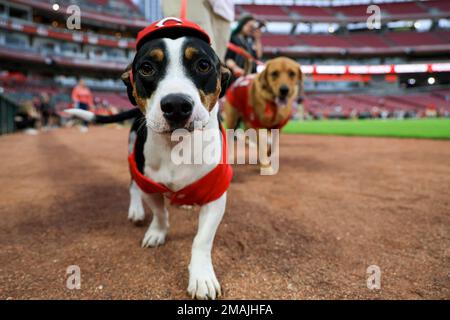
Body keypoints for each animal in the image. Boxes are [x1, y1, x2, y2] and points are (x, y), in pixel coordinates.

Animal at [67, 20, 232, 300]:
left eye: (203, 65)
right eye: (146, 68)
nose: (176, 105)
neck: (176, 145)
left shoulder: (215, 194)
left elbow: (202, 239)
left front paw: (201, 276)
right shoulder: (150, 185)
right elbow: (160, 212)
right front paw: (157, 232)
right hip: (132, 152)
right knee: (132, 186)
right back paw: (136, 210)